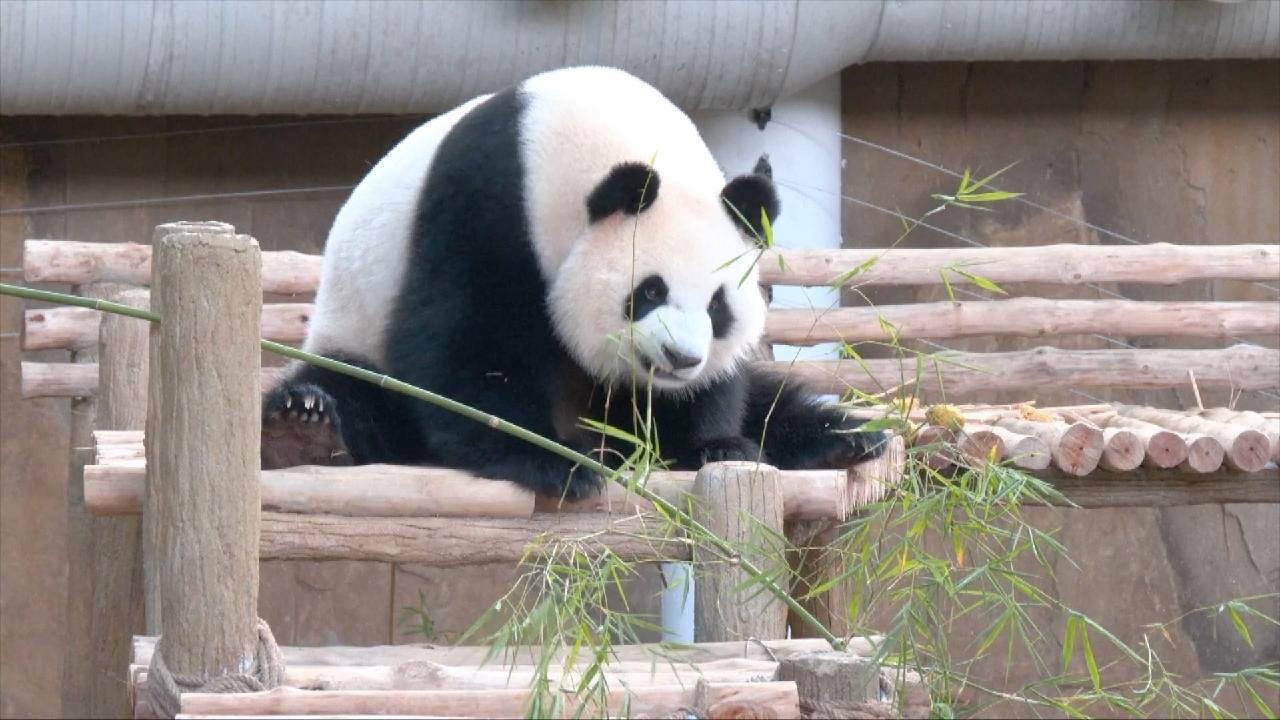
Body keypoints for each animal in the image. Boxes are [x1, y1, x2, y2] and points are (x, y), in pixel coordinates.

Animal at [262, 66, 884, 499]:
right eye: (650, 291)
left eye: (717, 307)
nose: (681, 359)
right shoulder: (487, 207)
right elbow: (468, 345)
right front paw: (555, 462)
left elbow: (719, 390)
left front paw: (713, 443)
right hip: (353, 334)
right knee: (361, 396)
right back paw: (306, 426)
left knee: (771, 400)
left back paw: (845, 438)